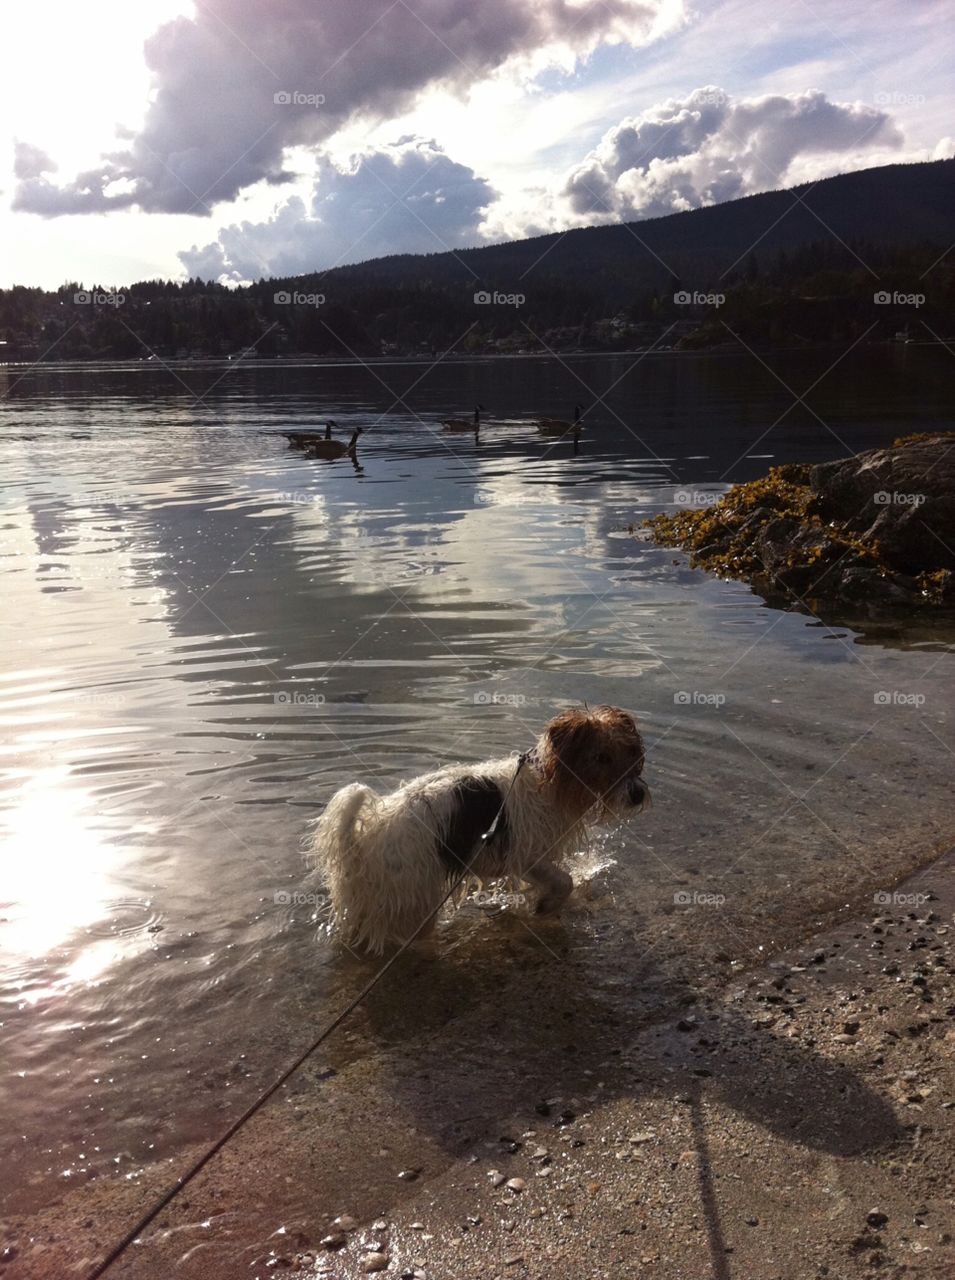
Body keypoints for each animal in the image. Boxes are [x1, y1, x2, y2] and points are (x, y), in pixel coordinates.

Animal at [312, 711, 647, 952]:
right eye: (602, 757)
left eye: (632, 752)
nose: (638, 795)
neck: (550, 781)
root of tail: (362, 838)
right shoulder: (527, 859)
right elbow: (564, 881)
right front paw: (545, 906)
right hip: (413, 902)